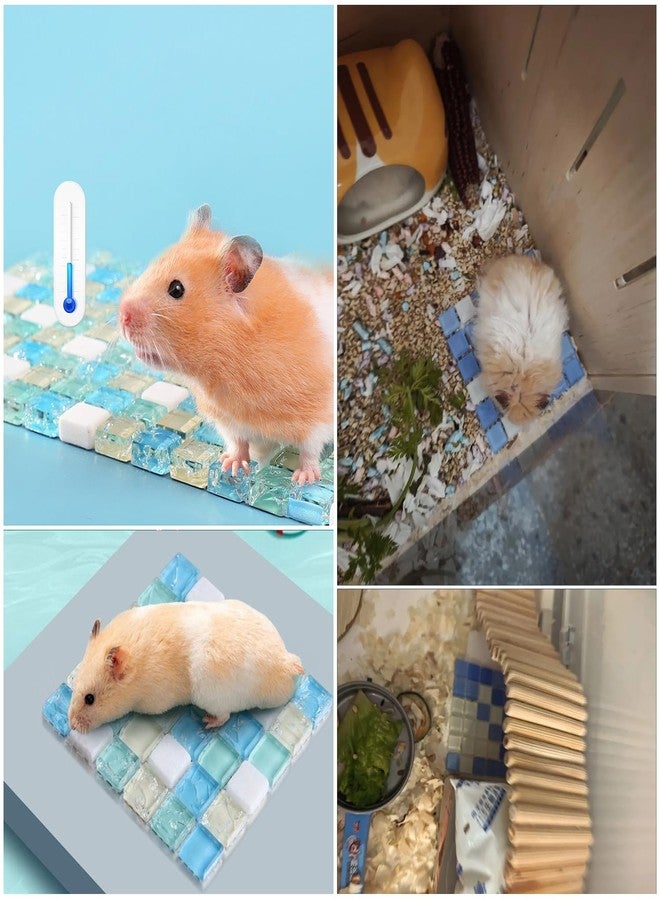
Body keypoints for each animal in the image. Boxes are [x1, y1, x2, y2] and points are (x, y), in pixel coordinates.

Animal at [67, 601, 304, 734]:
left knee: (225, 716)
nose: (71, 726)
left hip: (212, 695)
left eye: (90, 699)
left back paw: (206, 722)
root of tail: (286, 662)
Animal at [118, 205, 333, 484]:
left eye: (176, 289)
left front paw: (303, 479)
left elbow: (310, 448)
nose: (122, 316)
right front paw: (230, 466)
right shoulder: (228, 420)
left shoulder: (318, 414)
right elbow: (238, 442)